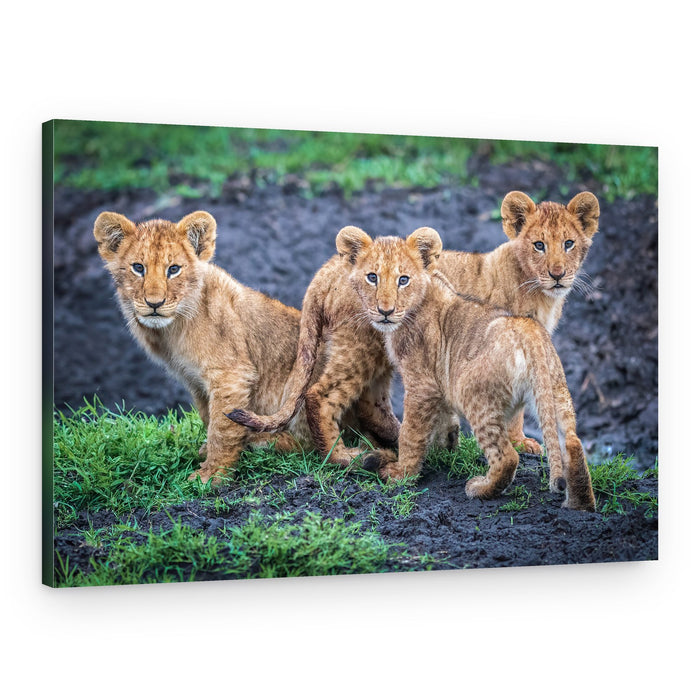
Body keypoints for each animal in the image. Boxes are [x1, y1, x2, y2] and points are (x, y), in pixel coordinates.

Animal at [94, 210, 326, 484]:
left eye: (173, 269)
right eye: (138, 268)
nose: (154, 303)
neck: (171, 331)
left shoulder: (231, 374)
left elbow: (222, 428)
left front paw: (212, 475)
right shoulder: (195, 381)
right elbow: (208, 417)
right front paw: (207, 454)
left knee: (310, 445)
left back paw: (260, 440)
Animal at [347, 226, 595, 511]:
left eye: (403, 280)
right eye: (372, 277)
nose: (384, 311)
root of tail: (529, 332)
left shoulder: (422, 384)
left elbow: (410, 433)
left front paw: (401, 474)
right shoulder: (441, 384)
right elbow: (441, 422)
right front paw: (444, 449)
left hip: (473, 392)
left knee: (507, 456)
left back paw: (480, 489)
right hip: (558, 392)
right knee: (573, 443)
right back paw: (580, 507)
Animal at [437, 191, 600, 454]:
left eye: (568, 243)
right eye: (539, 245)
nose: (558, 275)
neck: (541, 295)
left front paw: (517, 441)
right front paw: (517, 442)